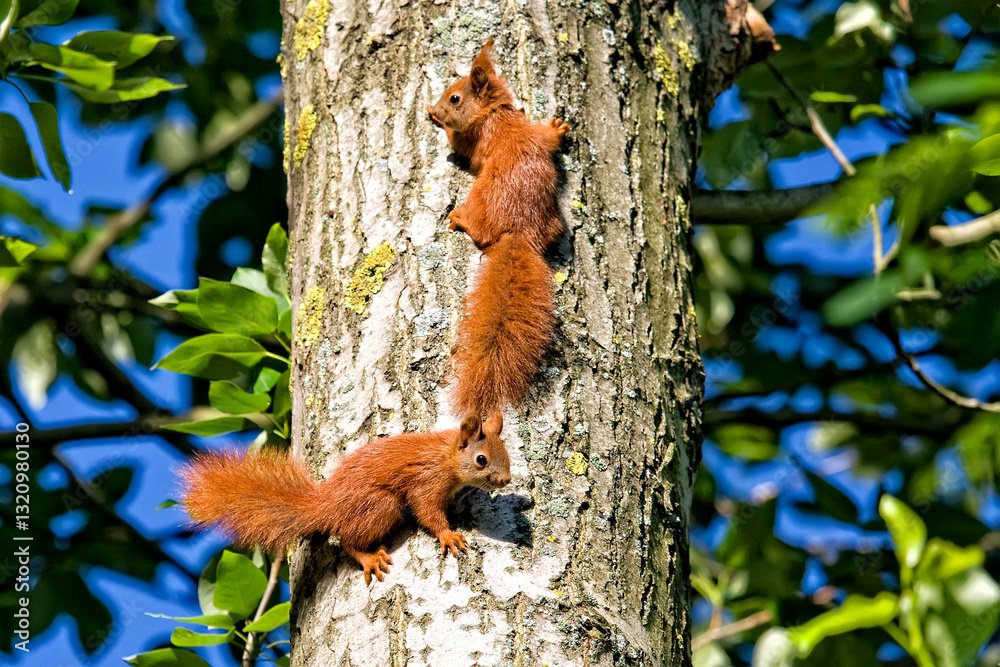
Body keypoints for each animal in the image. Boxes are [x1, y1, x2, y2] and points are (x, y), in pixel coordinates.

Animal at [181, 412, 510, 585]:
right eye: (481, 460)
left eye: (506, 453)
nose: (506, 480)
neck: (446, 456)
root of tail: (326, 506)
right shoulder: (426, 482)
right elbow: (427, 511)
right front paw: (448, 535)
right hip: (380, 506)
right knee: (348, 541)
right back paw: (369, 558)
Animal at [427, 39, 569, 418]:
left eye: (454, 98)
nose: (436, 110)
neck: (496, 113)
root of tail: (520, 233)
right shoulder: (530, 128)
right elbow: (547, 138)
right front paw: (558, 128)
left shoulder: (474, 137)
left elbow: (457, 144)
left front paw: (439, 123)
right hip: (552, 221)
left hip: (480, 196)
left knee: (480, 231)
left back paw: (461, 219)